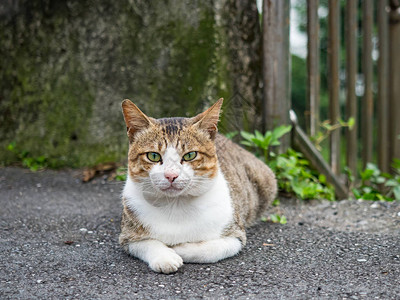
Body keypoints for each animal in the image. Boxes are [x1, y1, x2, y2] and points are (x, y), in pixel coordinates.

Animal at [118, 99, 276, 274]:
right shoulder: (128, 236)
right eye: (153, 156)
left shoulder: (236, 235)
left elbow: (210, 249)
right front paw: (166, 257)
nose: (171, 175)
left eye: (190, 155)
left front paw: (180, 248)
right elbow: (148, 243)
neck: (175, 204)